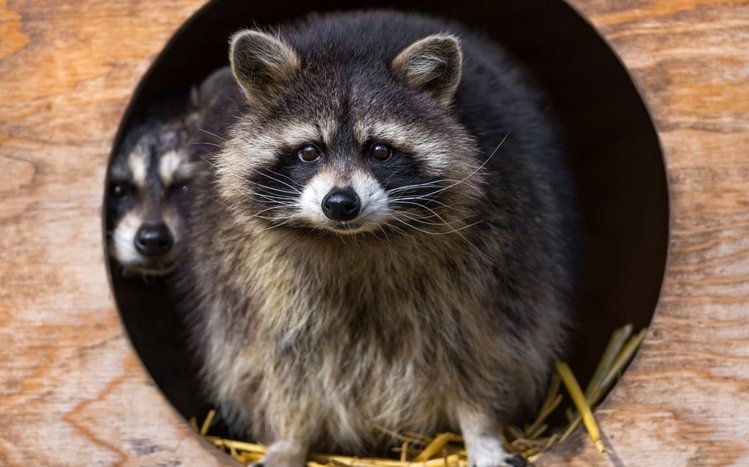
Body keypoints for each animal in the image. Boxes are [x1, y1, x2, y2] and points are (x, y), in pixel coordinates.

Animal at [181, 10, 577, 467]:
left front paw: (482, 429)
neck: (355, 239)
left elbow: (483, 351)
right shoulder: (251, 284)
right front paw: (290, 436)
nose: (340, 204)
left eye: (380, 151)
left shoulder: (504, 259)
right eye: (309, 151)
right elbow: (281, 365)